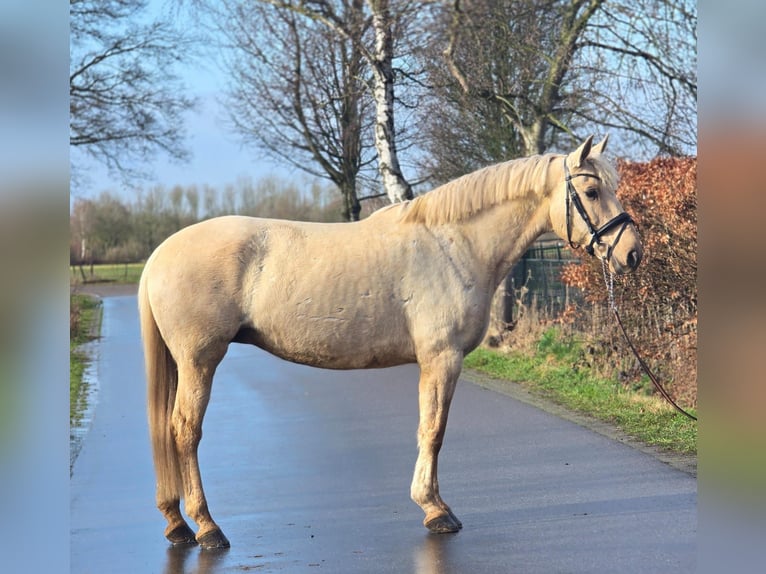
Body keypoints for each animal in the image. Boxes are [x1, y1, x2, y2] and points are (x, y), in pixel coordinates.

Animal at [139, 135, 642, 548]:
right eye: (592, 192)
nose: (632, 253)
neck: (453, 244)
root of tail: (160, 254)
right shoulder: (441, 359)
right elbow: (433, 430)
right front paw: (436, 510)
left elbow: (429, 429)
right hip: (200, 360)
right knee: (184, 430)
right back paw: (207, 527)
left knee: (169, 429)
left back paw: (176, 523)